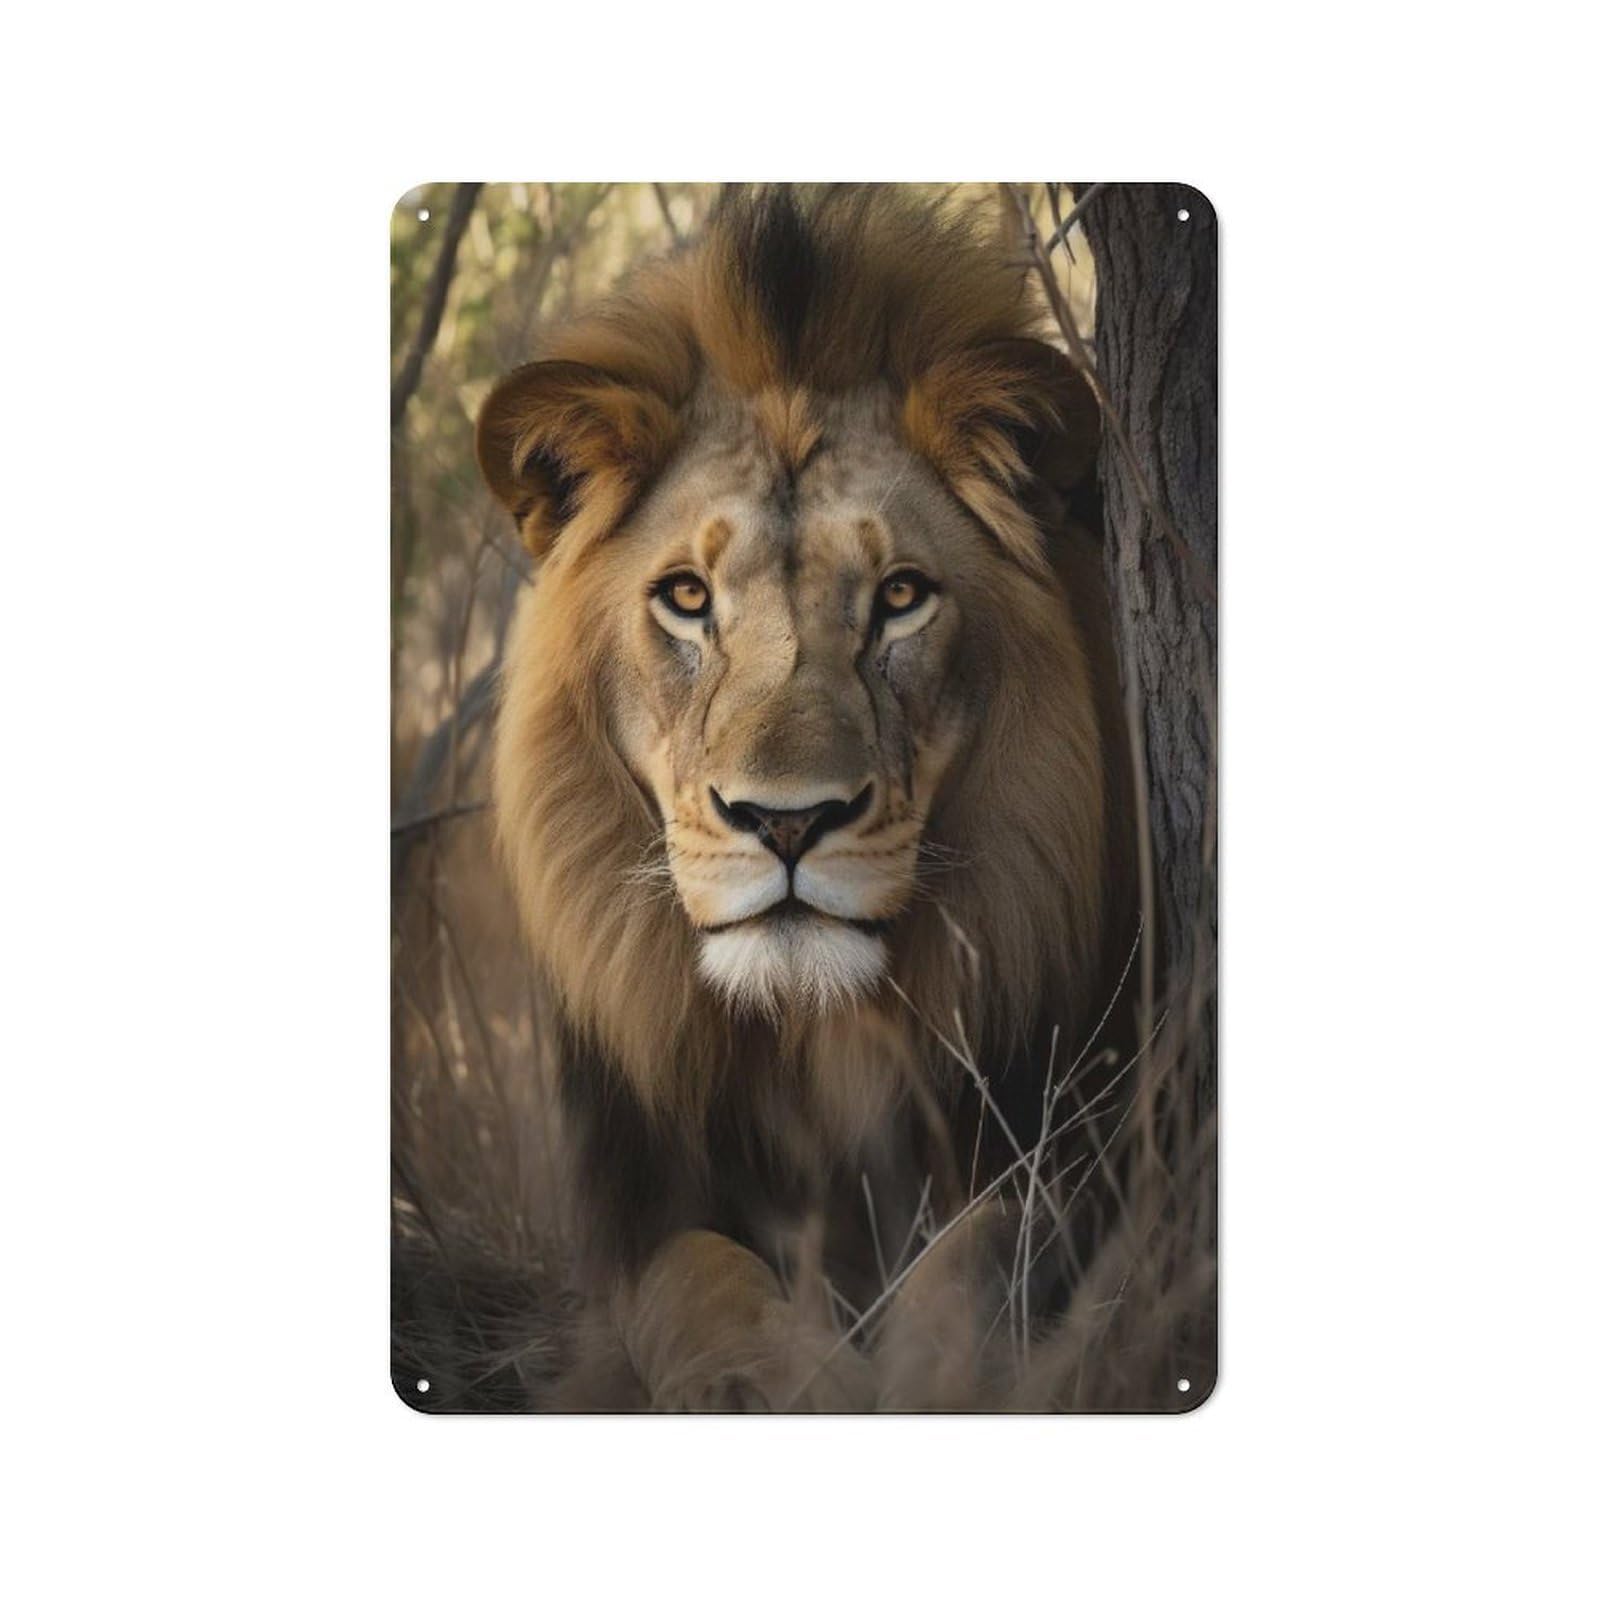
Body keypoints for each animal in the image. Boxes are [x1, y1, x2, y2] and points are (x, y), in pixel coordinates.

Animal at [477, 186, 1136, 1411]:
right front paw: (774, 1380)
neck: (817, 1042)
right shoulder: (635, 1216)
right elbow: (697, 1280)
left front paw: (924, 1377)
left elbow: (984, 1251)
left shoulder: (1094, 1127)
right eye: (687, 598)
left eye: (902, 596)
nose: (785, 822)